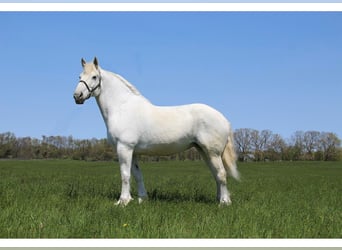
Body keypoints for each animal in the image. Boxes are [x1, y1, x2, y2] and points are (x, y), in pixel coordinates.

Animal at [73, 57, 239, 206]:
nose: (77, 96)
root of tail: (224, 119)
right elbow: (137, 175)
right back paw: (219, 199)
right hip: (204, 152)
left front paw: (123, 201)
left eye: (94, 76)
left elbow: (125, 175)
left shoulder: (124, 148)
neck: (122, 107)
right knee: (216, 174)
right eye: (80, 76)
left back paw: (224, 202)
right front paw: (141, 199)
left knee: (221, 174)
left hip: (213, 152)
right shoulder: (133, 151)